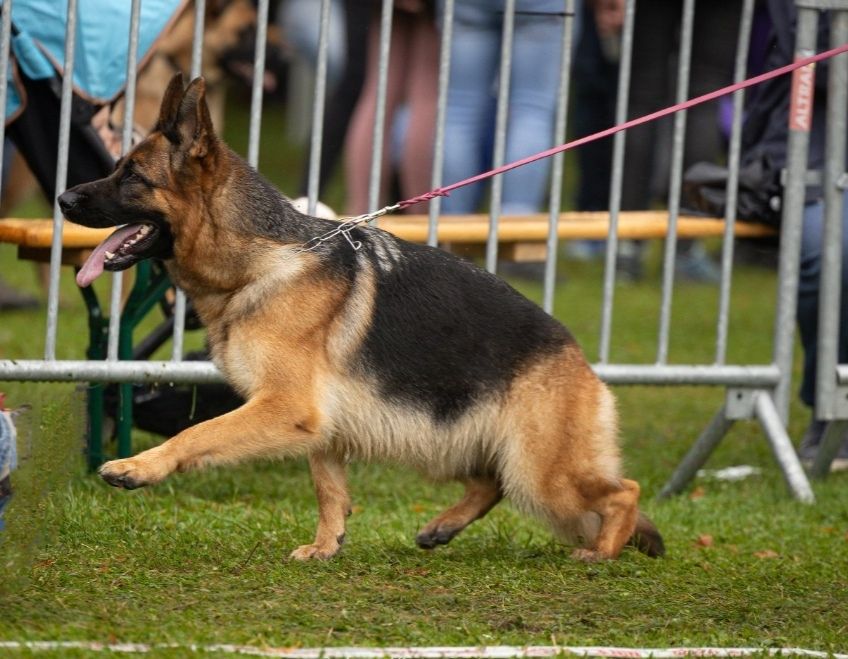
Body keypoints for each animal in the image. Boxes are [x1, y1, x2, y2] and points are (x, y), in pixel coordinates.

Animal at [58, 77, 664, 564]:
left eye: (132, 177)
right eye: (116, 167)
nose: (62, 198)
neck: (259, 262)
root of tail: (581, 361)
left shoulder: (285, 407)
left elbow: (196, 433)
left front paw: (138, 467)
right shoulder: (315, 423)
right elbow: (328, 488)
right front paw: (327, 546)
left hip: (540, 473)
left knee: (625, 490)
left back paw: (602, 551)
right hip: (454, 445)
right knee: (493, 484)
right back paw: (444, 527)